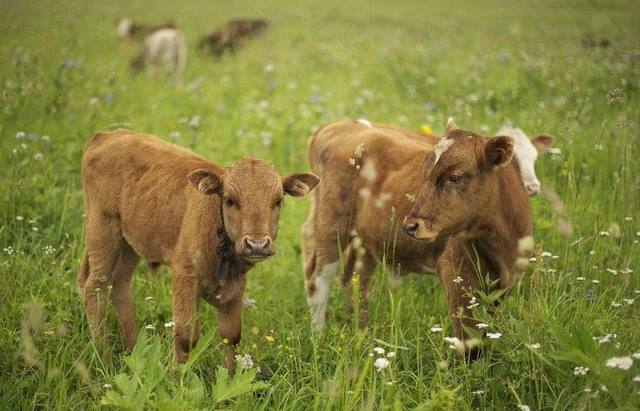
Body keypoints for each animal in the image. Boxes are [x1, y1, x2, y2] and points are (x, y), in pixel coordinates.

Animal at [79, 130, 318, 372]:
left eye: (278, 201)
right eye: (229, 200)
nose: (257, 244)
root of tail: (107, 135)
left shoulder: (236, 285)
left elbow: (231, 336)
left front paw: (231, 377)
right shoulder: (184, 274)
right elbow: (185, 337)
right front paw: (178, 377)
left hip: (130, 243)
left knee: (119, 283)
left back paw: (133, 347)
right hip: (103, 231)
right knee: (94, 286)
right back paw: (103, 355)